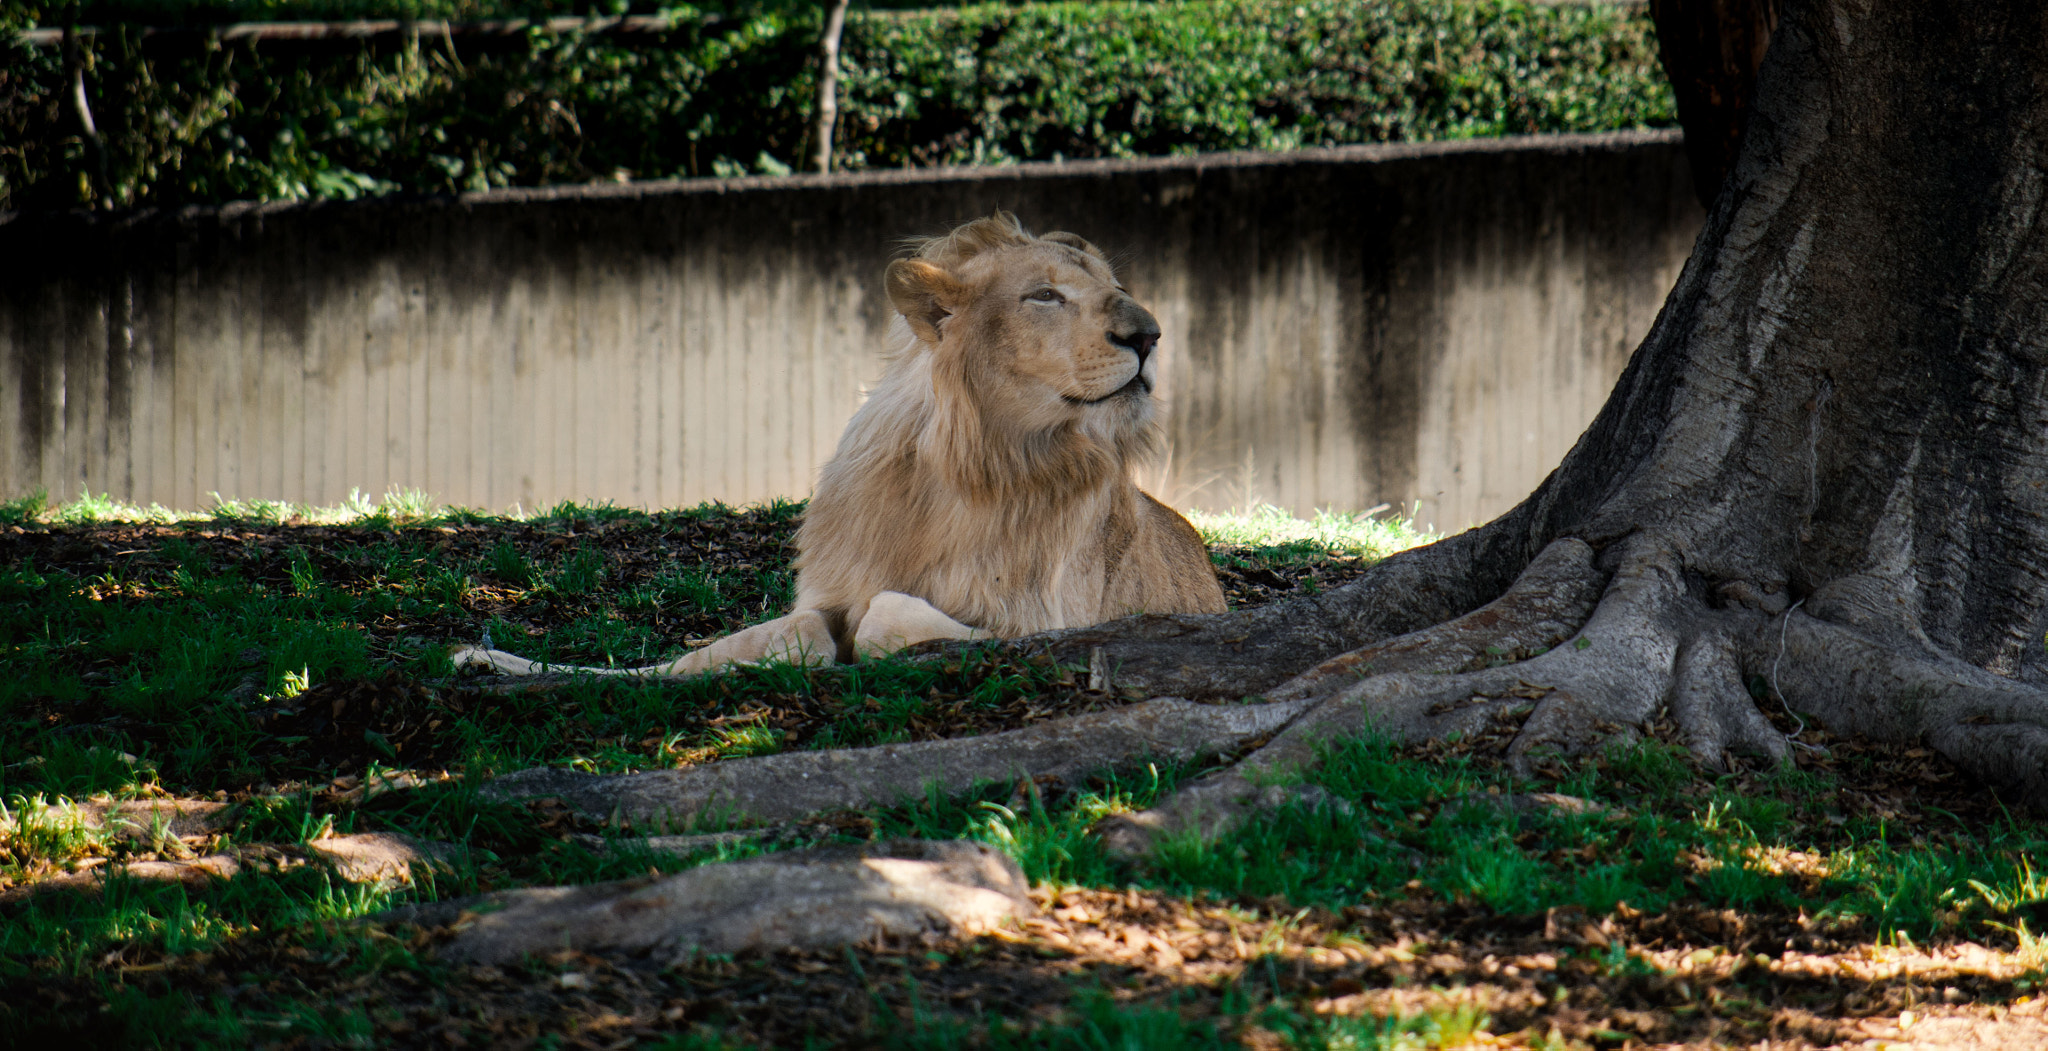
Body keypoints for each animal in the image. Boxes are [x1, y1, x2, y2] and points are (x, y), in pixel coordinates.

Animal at [452, 211, 1212, 680]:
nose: (1149, 335)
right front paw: (496, 660)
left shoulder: (1049, 626)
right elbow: (759, 641)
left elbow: (885, 615)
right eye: (1045, 296)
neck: (972, 462)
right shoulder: (824, 591)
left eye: (1119, 289)